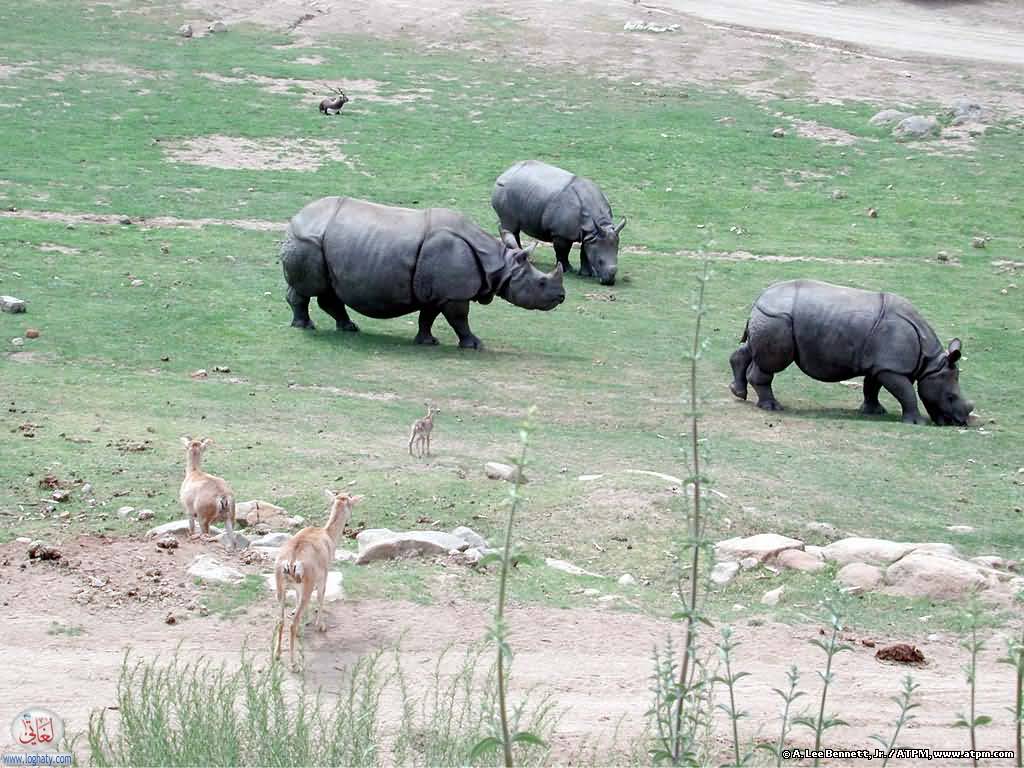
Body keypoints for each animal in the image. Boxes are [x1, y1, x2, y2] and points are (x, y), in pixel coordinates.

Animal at [280, 196, 565, 349]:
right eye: (541, 283)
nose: (562, 296)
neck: (499, 262)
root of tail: (296, 217)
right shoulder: (453, 294)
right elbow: (460, 318)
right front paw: (475, 345)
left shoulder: (439, 292)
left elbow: (428, 317)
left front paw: (427, 342)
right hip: (308, 241)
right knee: (307, 289)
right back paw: (305, 326)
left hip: (322, 244)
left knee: (329, 291)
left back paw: (349, 328)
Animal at [491, 160, 626, 286]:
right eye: (600, 262)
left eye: (617, 258)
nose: (609, 282)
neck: (597, 224)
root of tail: (506, 172)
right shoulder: (560, 233)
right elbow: (563, 251)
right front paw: (567, 270)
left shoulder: (591, 234)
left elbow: (585, 251)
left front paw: (587, 274)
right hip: (504, 191)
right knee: (510, 226)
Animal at [729, 280, 974, 426]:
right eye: (950, 397)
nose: (960, 422)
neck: (929, 363)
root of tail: (759, 299)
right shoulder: (891, 368)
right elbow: (906, 393)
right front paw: (916, 423)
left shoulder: (879, 365)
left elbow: (871, 387)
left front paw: (874, 412)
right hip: (777, 319)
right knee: (770, 364)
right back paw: (772, 408)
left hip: (769, 319)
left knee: (751, 350)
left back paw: (738, 392)